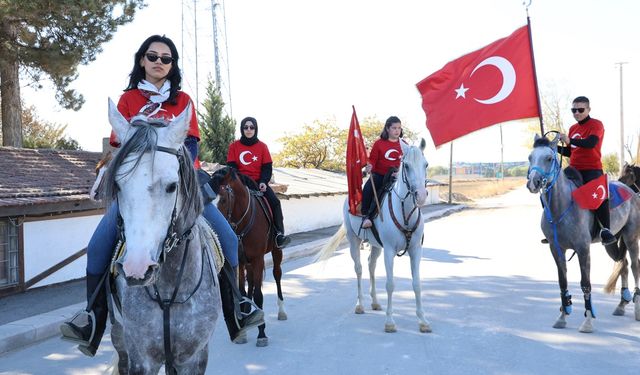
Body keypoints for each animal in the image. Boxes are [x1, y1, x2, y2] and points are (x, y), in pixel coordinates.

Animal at [104, 101, 221, 374]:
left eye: (171, 186)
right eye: (118, 186)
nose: (137, 268)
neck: (169, 290)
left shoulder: (193, 358)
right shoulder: (141, 358)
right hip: (119, 336)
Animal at [210, 166, 288, 348]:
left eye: (223, 200)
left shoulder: (258, 259)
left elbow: (259, 295)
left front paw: (262, 333)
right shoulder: (239, 261)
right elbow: (241, 290)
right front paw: (244, 327)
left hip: (276, 252)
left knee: (277, 275)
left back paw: (281, 311)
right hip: (248, 262)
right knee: (250, 282)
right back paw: (247, 312)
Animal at [316, 140, 430, 334]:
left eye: (426, 165)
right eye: (406, 166)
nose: (421, 196)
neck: (405, 213)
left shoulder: (416, 250)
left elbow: (417, 284)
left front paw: (422, 321)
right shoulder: (389, 251)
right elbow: (390, 284)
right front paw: (390, 322)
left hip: (376, 245)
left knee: (371, 265)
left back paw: (375, 302)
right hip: (354, 241)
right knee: (359, 269)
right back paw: (360, 305)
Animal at [524, 134, 640, 334]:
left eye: (549, 158)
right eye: (531, 157)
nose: (533, 182)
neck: (561, 206)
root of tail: (630, 191)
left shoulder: (583, 249)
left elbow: (585, 283)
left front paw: (587, 321)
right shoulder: (556, 249)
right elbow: (562, 282)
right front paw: (562, 316)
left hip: (631, 237)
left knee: (634, 266)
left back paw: (637, 309)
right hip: (611, 242)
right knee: (623, 264)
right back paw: (621, 304)